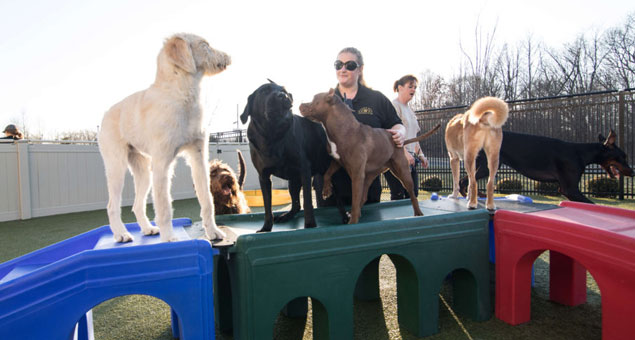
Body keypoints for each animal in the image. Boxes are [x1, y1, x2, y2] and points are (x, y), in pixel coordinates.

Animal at [98, 33, 230, 243]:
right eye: (205, 45)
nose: (228, 56)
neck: (181, 95)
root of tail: (106, 113)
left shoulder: (198, 158)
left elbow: (207, 199)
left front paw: (213, 231)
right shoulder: (162, 164)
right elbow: (164, 205)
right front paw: (169, 237)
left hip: (143, 171)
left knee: (137, 205)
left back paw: (147, 229)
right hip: (116, 167)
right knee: (112, 206)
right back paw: (121, 234)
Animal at [242, 81, 342, 232]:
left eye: (284, 91)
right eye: (264, 91)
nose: (283, 96)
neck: (273, 135)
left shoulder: (304, 170)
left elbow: (307, 202)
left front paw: (310, 225)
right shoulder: (263, 177)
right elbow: (267, 206)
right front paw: (266, 227)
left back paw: (346, 216)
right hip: (293, 182)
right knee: (296, 205)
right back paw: (286, 216)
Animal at [300, 89, 440, 224]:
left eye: (314, 99)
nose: (300, 104)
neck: (344, 129)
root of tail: (399, 141)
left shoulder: (356, 174)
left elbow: (355, 199)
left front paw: (353, 222)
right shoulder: (337, 161)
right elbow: (327, 174)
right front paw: (326, 190)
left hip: (402, 172)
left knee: (412, 194)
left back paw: (418, 212)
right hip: (369, 176)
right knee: (364, 196)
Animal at [460, 129, 632, 203]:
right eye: (623, 156)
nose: (632, 172)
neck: (581, 153)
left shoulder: (567, 191)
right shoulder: (570, 189)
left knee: (467, 180)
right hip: (487, 166)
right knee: (465, 181)